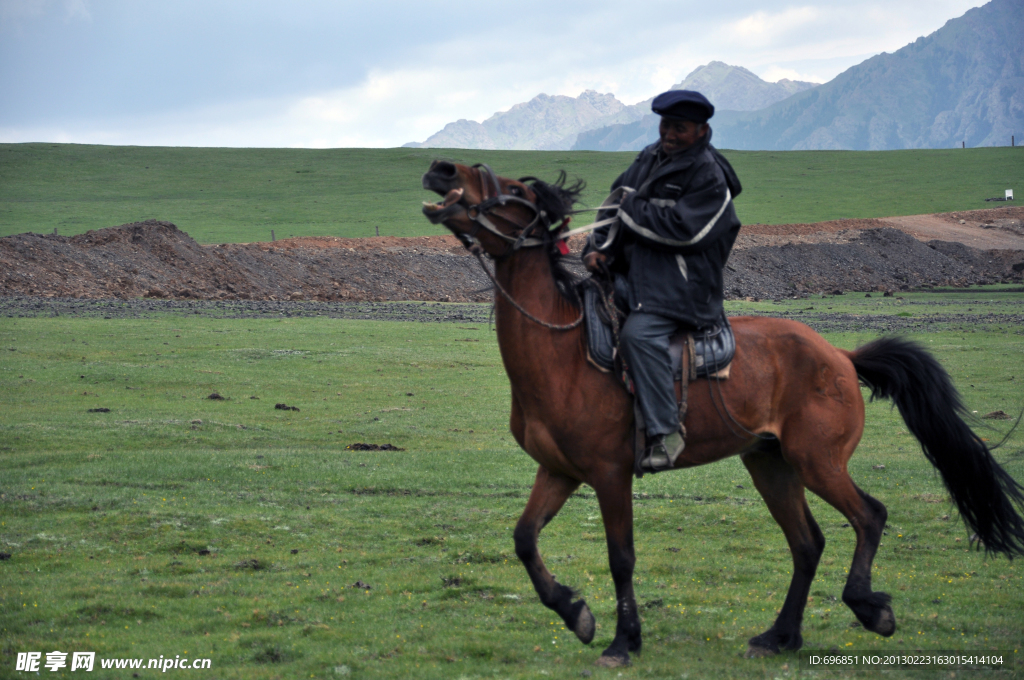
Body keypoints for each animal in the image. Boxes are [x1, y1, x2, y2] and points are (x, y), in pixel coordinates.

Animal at [417, 161, 1024, 667]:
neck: (564, 352)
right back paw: (780, 636)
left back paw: (869, 609)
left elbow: (621, 556)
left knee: (868, 516)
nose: (441, 168)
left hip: (817, 461)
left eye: (516, 191)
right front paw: (576, 613)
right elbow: (524, 539)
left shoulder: (610, 474)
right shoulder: (560, 471)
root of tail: (841, 357)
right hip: (771, 464)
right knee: (807, 544)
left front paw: (622, 641)